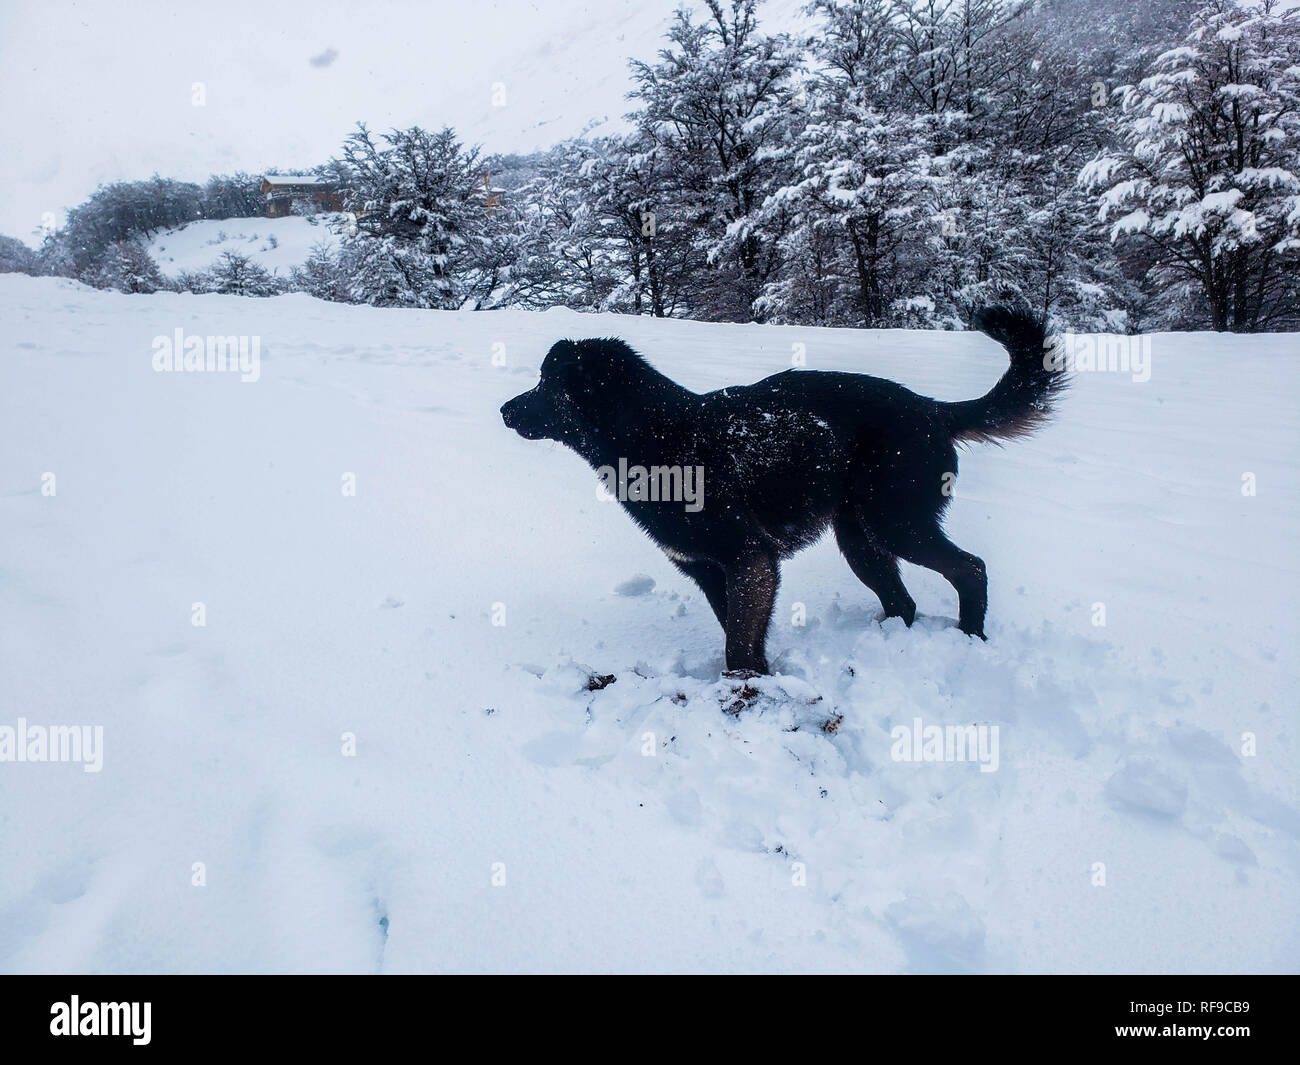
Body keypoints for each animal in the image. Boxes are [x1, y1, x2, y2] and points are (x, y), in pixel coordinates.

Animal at [499, 308, 1066, 676]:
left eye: (547, 384)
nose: (504, 409)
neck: (657, 435)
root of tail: (932, 409)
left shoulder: (751, 560)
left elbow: (738, 647)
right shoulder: (712, 572)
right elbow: (742, 640)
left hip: (897, 523)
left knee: (971, 568)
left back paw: (970, 639)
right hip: (860, 540)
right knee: (902, 601)